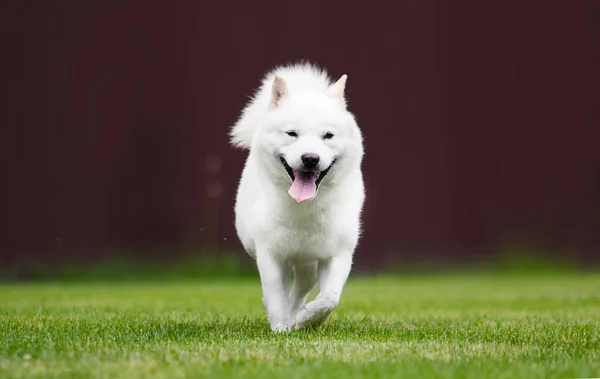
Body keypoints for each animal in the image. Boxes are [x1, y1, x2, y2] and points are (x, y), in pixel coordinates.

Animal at [230, 63, 366, 332]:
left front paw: (306, 319)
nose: (310, 158)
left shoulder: (338, 254)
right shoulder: (271, 256)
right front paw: (281, 329)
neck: (305, 208)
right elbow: (275, 296)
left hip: (309, 263)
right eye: (291, 133)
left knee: (302, 287)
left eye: (328, 136)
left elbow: (329, 298)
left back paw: (298, 315)